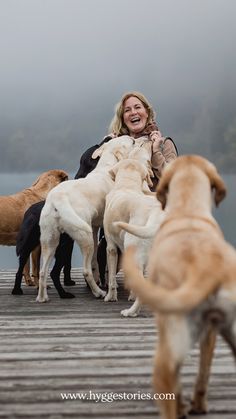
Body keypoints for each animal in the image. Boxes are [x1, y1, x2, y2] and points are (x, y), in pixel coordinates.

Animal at [35, 136, 135, 304]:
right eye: (131, 142)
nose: (134, 138)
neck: (107, 167)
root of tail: (58, 199)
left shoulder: (94, 226)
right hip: (84, 237)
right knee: (85, 271)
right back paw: (99, 293)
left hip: (50, 240)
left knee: (43, 271)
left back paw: (42, 298)